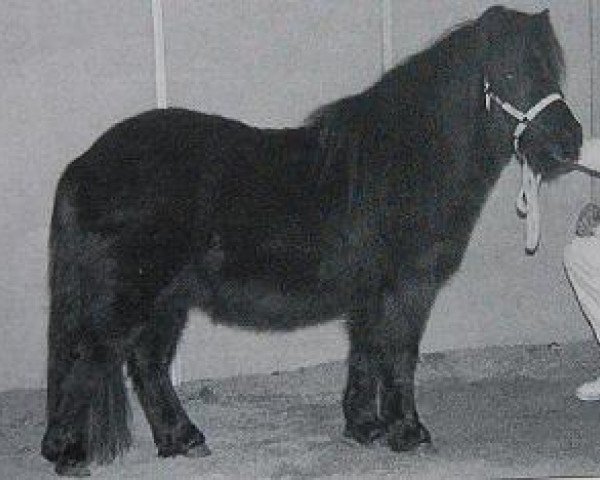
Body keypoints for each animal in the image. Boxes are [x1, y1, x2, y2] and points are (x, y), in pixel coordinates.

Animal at [42, 6, 580, 476]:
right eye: (507, 73)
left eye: (553, 72)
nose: (569, 142)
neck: (404, 161)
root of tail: (83, 164)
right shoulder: (407, 288)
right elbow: (400, 355)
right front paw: (410, 433)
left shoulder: (369, 292)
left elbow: (366, 353)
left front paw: (365, 428)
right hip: (129, 296)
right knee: (88, 359)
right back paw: (69, 454)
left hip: (167, 298)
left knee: (147, 364)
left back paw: (183, 440)